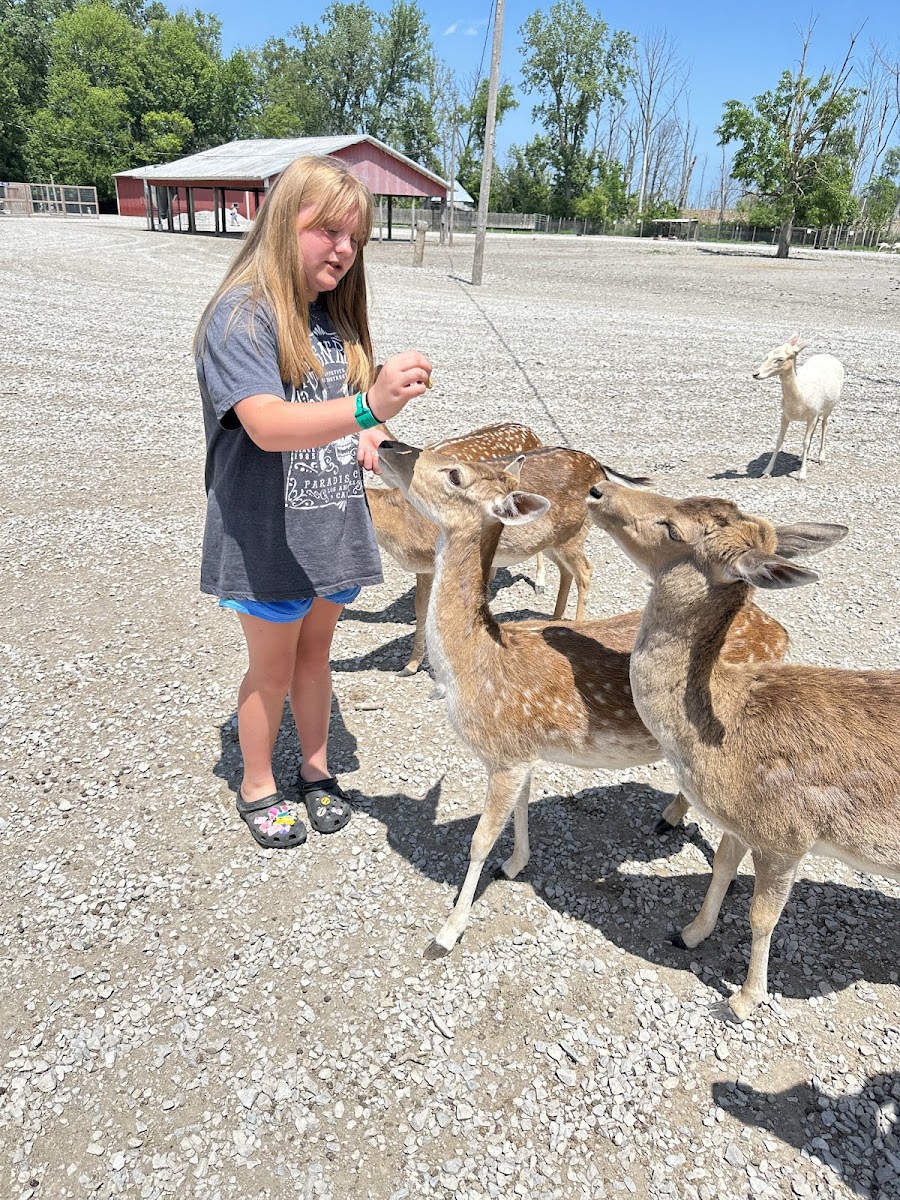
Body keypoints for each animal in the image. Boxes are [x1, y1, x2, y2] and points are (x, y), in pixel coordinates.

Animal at [367, 425, 599, 677]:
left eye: (455, 474)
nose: (384, 444)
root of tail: (599, 469)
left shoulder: (428, 563)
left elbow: (423, 611)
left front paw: (411, 666)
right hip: (552, 541)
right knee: (566, 571)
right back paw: (555, 618)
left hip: (573, 534)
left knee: (585, 571)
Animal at [586, 480, 900, 1020]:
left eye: (673, 528)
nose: (599, 487)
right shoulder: (737, 821)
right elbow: (720, 868)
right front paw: (688, 934)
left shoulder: (785, 835)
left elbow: (761, 917)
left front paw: (742, 999)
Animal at [753, 334, 844, 481]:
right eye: (767, 356)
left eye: (780, 359)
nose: (756, 374)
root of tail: (829, 355)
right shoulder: (785, 414)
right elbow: (779, 440)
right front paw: (766, 471)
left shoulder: (812, 414)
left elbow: (805, 442)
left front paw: (802, 475)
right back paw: (801, 457)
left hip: (829, 407)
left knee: (824, 425)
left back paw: (821, 458)